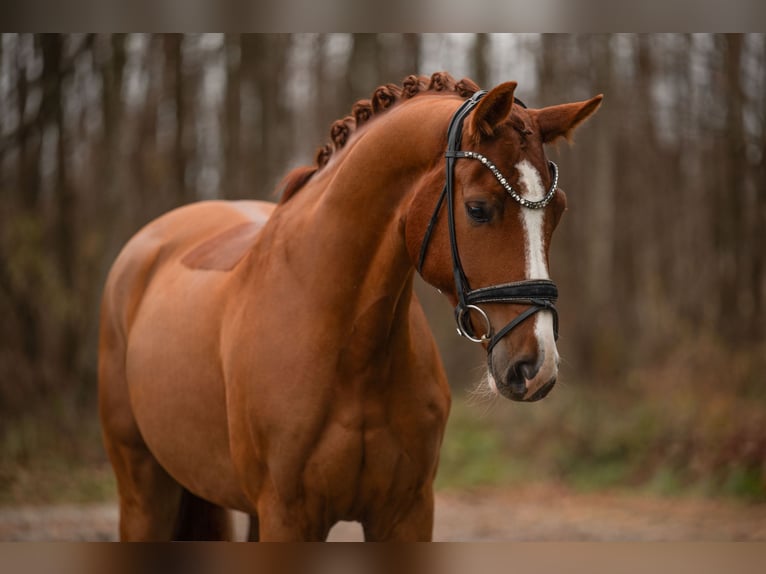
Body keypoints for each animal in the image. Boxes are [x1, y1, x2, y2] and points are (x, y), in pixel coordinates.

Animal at [98, 72, 602, 541]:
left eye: (558, 209)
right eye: (478, 208)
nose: (535, 365)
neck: (351, 351)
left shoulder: (406, 513)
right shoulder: (288, 516)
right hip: (145, 491)